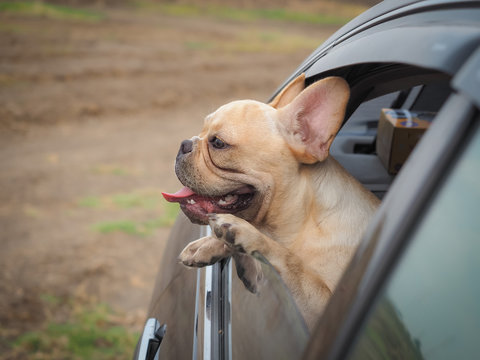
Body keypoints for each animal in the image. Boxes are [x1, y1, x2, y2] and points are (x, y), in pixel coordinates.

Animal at [163, 74, 380, 330]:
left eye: (218, 143)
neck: (303, 222)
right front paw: (208, 245)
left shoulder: (323, 310)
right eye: (203, 130)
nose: (185, 143)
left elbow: (290, 263)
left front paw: (246, 234)